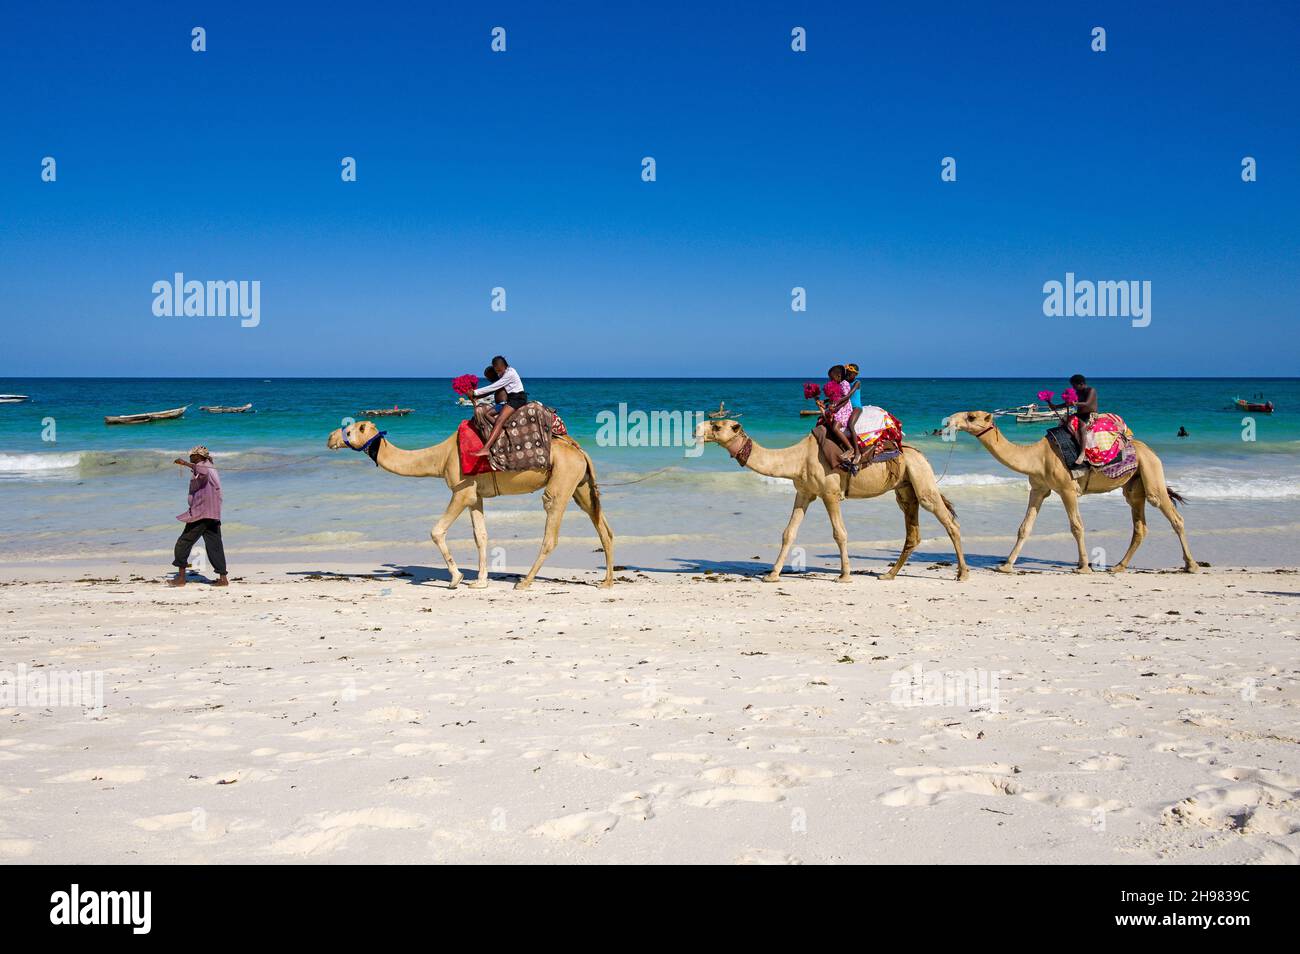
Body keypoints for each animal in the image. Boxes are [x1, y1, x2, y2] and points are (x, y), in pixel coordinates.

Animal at [322, 421, 611, 590]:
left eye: (349, 430)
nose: (330, 437)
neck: (441, 457)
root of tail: (580, 451)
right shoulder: (476, 495)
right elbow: (480, 536)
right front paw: (480, 581)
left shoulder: (460, 491)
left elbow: (436, 531)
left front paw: (456, 578)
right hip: (580, 484)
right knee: (602, 527)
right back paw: (606, 581)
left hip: (562, 480)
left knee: (551, 528)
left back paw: (525, 581)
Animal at [696, 423, 972, 587]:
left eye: (717, 425)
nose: (697, 430)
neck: (798, 458)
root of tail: (921, 455)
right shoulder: (804, 493)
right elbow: (789, 533)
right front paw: (772, 575)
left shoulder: (829, 493)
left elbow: (840, 533)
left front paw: (845, 576)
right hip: (905, 489)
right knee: (912, 532)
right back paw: (889, 574)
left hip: (922, 480)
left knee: (949, 522)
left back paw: (962, 574)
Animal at [941, 410, 1190, 574]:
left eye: (971, 416)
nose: (948, 421)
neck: (1037, 457)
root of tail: (1148, 450)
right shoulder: (1039, 489)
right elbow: (1024, 528)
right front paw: (1006, 565)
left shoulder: (1067, 489)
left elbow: (1077, 526)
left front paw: (1084, 567)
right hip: (1134, 486)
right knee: (1139, 525)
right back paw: (1119, 566)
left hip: (1151, 471)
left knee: (1173, 515)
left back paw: (1191, 565)